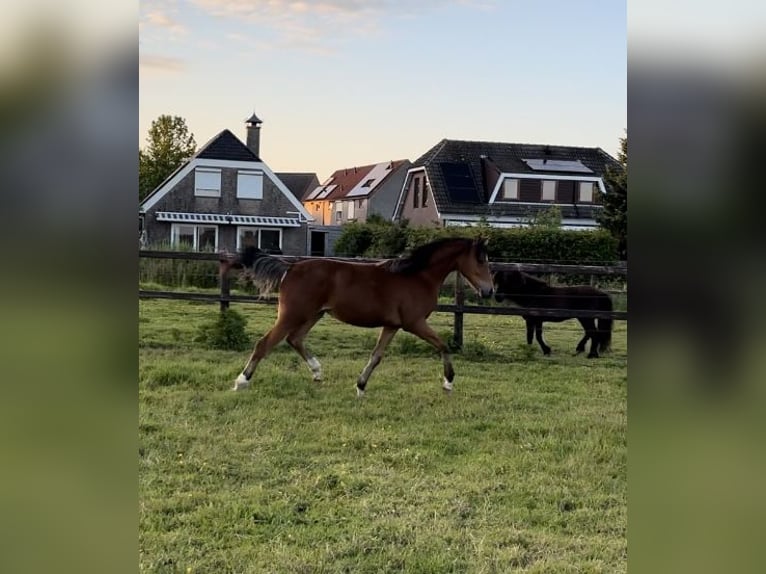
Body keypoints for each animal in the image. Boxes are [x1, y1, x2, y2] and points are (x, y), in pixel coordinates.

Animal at [219, 237, 496, 396]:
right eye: (481, 260)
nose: (489, 290)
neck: (418, 276)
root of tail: (291, 267)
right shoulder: (414, 323)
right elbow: (443, 345)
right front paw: (448, 382)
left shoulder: (392, 325)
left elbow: (376, 356)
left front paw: (360, 386)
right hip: (292, 314)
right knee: (265, 343)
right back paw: (241, 381)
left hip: (314, 315)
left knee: (294, 339)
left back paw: (317, 372)